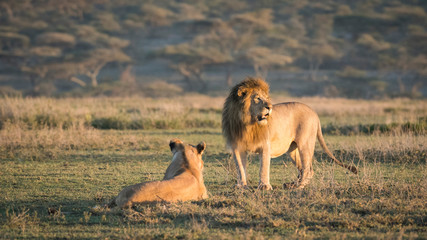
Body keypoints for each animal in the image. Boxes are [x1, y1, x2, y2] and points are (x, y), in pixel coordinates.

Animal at [222, 77, 360, 189]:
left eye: (266, 98)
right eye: (257, 98)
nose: (269, 107)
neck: (247, 123)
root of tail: (314, 113)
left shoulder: (265, 146)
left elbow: (263, 167)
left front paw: (264, 186)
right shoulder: (237, 147)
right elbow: (240, 167)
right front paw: (241, 186)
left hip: (305, 144)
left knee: (307, 169)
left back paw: (298, 186)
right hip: (292, 150)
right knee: (304, 169)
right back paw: (292, 184)